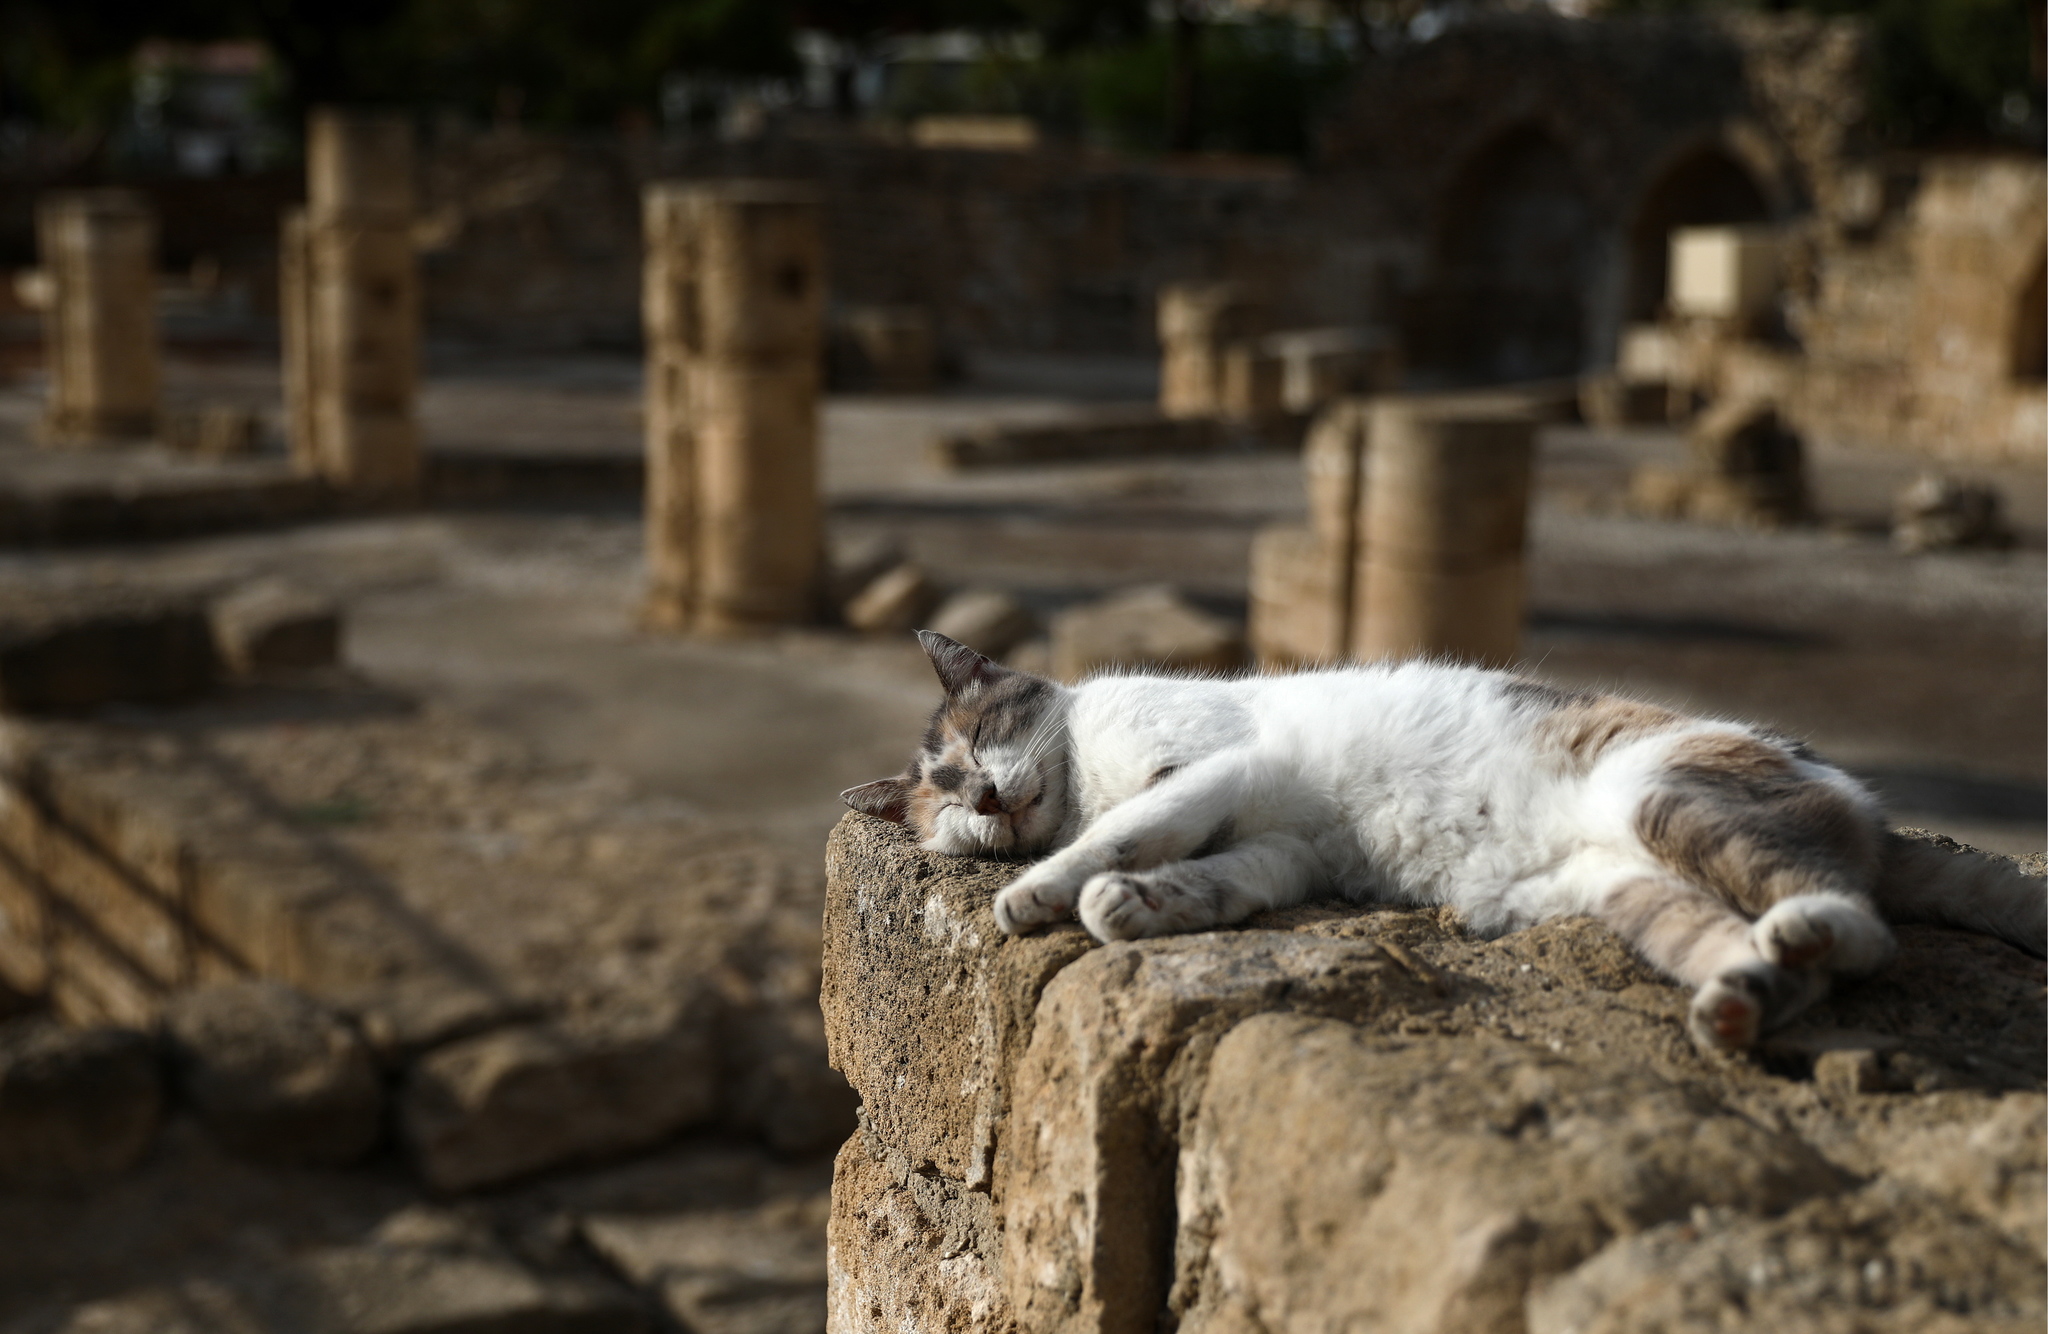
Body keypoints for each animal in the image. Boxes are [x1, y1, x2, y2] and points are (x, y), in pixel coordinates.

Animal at [839, 631, 2039, 1049]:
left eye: (973, 744)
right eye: (944, 804)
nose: (983, 799)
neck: (1083, 777)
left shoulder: (1214, 765)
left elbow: (1130, 832)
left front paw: (1042, 891)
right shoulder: (1283, 853)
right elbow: (1212, 874)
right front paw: (1133, 904)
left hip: (1668, 801)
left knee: (1860, 923)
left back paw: (1806, 929)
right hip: (1628, 892)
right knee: (1785, 959)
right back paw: (1742, 997)